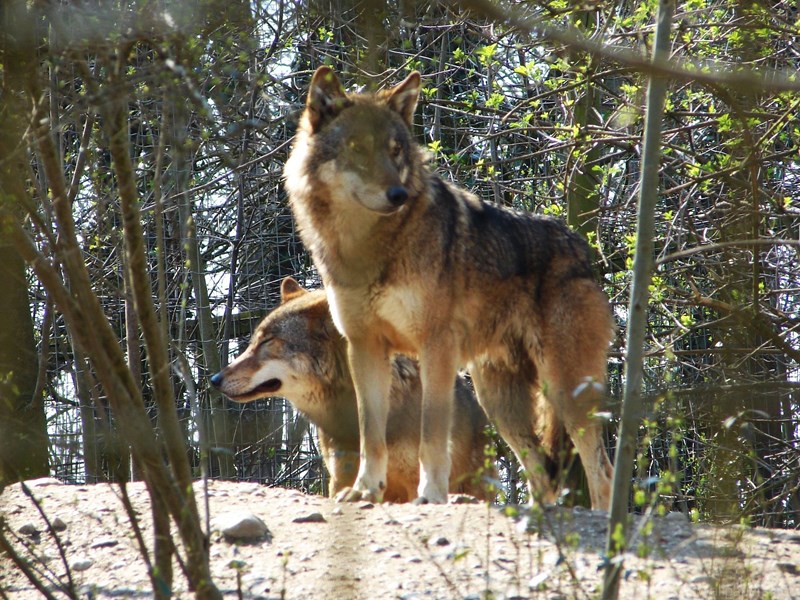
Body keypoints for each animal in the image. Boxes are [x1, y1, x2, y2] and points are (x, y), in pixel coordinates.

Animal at [284, 66, 616, 509]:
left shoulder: (435, 346)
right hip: (499, 401)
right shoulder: (365, 346)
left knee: (602, 472)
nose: (397, 194)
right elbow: (371, 435)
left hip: (564, 390)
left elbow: (431, 435)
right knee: (542, 476)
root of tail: (582, 250)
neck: (370, 248)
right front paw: (366, 490)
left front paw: (431, 494)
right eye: (356, 147)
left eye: (395, 151)